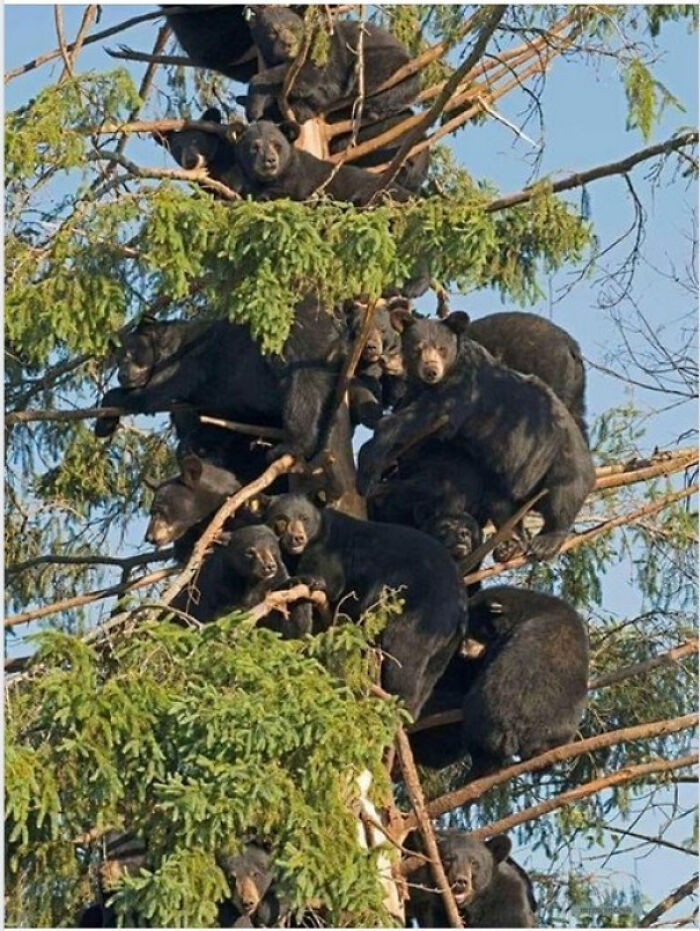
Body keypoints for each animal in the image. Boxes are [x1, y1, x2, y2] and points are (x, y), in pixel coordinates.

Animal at [234, 120, 412, 205]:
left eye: (277, 145)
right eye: (254, 147)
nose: (270, 160)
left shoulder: (299, 181)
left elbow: (290, 193)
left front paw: (263, 197)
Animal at [246, 8, 419, 124]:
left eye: (294, 28)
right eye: (272, 32)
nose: (289, 44)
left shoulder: (324, 48)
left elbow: (307, 75)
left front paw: (253, 106)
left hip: (386, 61)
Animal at [263, 493, 468, 716]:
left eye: (304, 518)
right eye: (282, 520)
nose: (297, 538)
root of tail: (460, 606)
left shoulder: (327, 551)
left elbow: (330, 583)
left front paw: (305, 580)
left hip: (421, 614)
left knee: (405, 657)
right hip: (446, 644)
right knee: (429, 677)